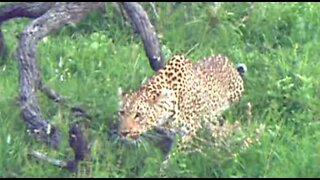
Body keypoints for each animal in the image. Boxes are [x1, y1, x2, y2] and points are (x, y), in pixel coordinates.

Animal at [116, 53, 246, 159]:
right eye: (122, 113)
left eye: (138, 115)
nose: (123, 133)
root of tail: (229, 61)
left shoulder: (189, 130)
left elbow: (175, 155)